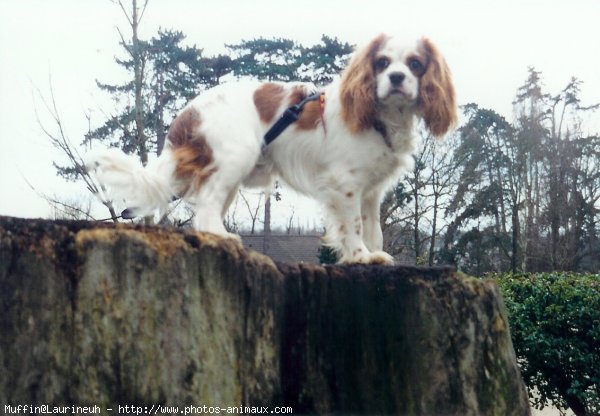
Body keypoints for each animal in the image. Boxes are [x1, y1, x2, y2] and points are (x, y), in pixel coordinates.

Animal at [86, 35, 458, 264]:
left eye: (414, 64)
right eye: (381, 63)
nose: (396, 77)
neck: (383, 116)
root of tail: (188, 113)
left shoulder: (370, 191)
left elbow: (374, 229)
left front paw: (373, 255)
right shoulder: (346, 184)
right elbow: (352, 226)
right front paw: (359, 256)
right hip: (236, 157)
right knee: (205, 209)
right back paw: (223, 237)